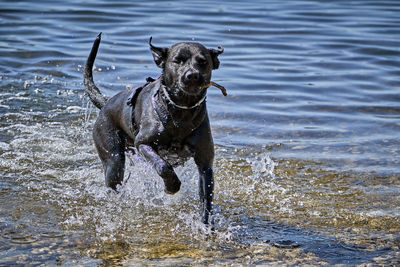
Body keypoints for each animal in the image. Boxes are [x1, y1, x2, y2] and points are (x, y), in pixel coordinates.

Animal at [83, 34, 223, 226]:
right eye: (177, 60)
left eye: (203, 62)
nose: (192, 75)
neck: (181, 112)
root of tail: (106, 103)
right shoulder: (143, 143)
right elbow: (163, 166)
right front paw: (172, 186)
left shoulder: (205, 163)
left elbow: (206, 197)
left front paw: (206, 226)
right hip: (113, 158)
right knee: (115, 176)